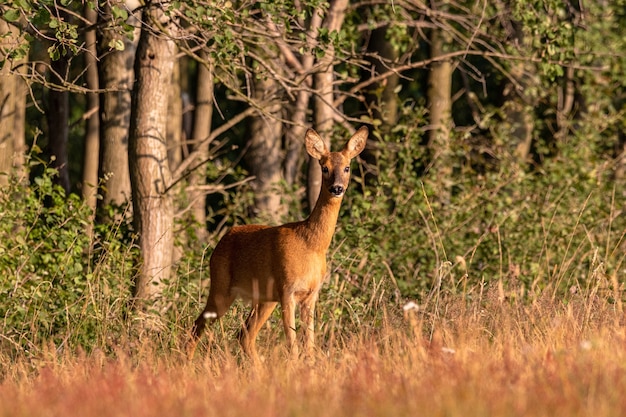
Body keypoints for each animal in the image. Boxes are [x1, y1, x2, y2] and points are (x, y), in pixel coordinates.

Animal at [188, 126, 368, 360]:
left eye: (347, 167)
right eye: (325, 168)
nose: (337, 188)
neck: (312, 244)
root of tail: (221, 242)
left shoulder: (311, 295)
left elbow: (309, 345)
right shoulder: (287, 289)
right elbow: (293, 345)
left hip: (264, 298)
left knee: (244, 335)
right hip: (221, 286)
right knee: (197, 326)